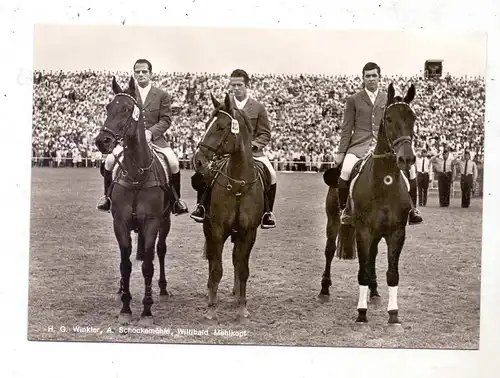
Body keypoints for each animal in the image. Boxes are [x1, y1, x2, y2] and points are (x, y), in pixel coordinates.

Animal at [94, 76, 174, 324]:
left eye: (127, 109)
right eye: (108, 107)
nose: (102, 141)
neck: (137, 174)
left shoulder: (152, 223)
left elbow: (148, 265)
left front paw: (147, 310)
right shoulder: (119, 223)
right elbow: (125, 264)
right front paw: (125, 308)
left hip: (165, 222)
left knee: (161, 250)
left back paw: (163, 287)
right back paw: (121, 288)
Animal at [191, 93, 270, 324]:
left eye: (220, 127)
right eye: (206, 124)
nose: (198, 161)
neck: (238, 186)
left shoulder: (248, 232)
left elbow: (243, 269)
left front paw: (243, 308)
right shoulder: (217, 230)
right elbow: (217, 269)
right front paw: (211, 308)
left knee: (236, 260)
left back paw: (236, 295)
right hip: (210, 230)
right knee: (213, 262)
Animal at [320, 84, 418, 332]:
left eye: (413, 118)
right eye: (389, 118)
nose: (407, 159)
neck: (384, 181)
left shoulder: (396, 232)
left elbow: (392, 274)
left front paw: (393, 315)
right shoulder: (363, 231)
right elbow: (362, 272)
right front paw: (361, 313)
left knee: (372, 258)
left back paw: (374, 292)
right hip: (334, 222)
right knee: (329, 251)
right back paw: (324, 289)